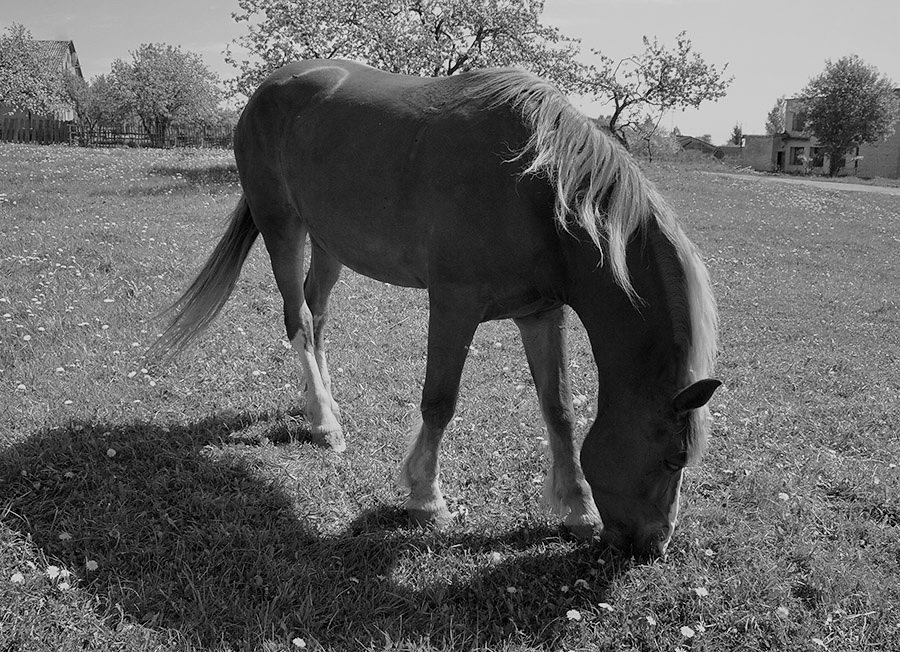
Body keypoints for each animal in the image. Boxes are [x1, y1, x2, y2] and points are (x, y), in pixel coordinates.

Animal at [151, 61, 720, 556]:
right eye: (674, 458)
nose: (654, 547)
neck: (535, 187)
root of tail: (268, 88)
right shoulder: (453, 304)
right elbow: (440, 402)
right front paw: (426, 500)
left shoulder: (542, 312)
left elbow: (558, 406)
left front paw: (577, 509)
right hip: (282, 227)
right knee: (300, 320)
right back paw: (324, 424)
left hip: (330, 242)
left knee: (318, 316)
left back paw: (322, 403)